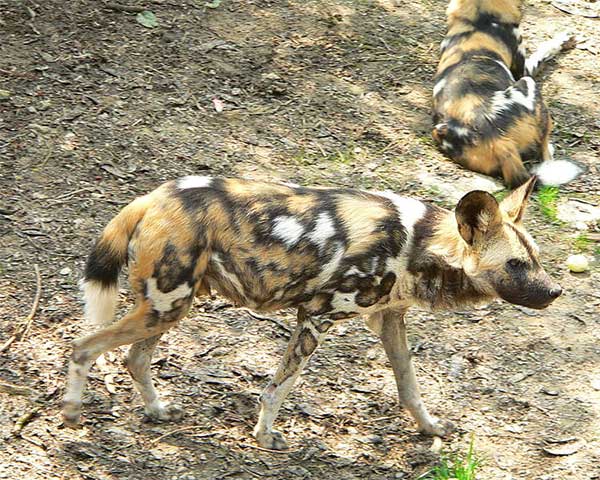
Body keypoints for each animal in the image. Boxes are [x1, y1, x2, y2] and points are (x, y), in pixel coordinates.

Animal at [63, 175, 560, 450]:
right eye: (515, 264)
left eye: (536, 258)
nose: (556, 291)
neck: (420, 244)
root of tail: (156, 196)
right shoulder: (315, 317)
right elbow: (278, 388)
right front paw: (264, 437)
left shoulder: (389, 320)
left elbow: (410, 387)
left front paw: (430, 428)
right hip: (167, 305)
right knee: (83, 346)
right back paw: (71, 413)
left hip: (170, 306)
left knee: (134, 358)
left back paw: (157, 410)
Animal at [432, 0, 580, 188]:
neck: (481, 16)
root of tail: (499, 142)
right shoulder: (524, 69)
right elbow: (543, 50)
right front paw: (562, 41)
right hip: (528, 84)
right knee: (545, 151)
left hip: (438, 130)